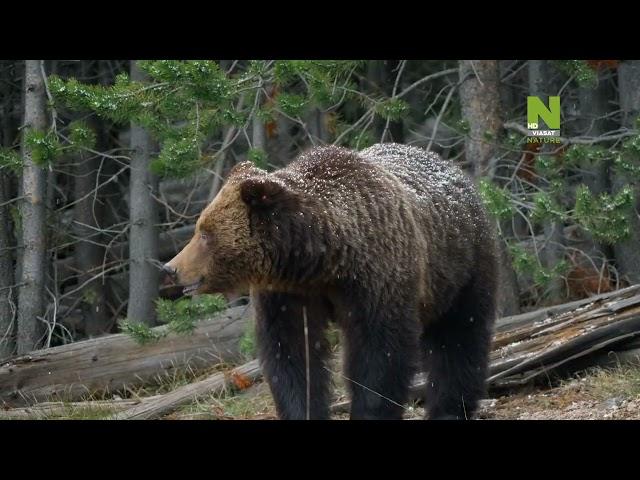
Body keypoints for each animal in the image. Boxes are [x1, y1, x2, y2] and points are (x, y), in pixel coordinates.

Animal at [162, 143, 498, 420]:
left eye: (205, 234)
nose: (171, 268)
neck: (323, 259)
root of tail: (452, 167)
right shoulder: (286, 294)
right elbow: (292, 354)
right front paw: (302, 409)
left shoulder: (379, 276)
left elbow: (379, 353)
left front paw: (369, 411)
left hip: (462, 265)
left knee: (459, 335)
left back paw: (450, 409)